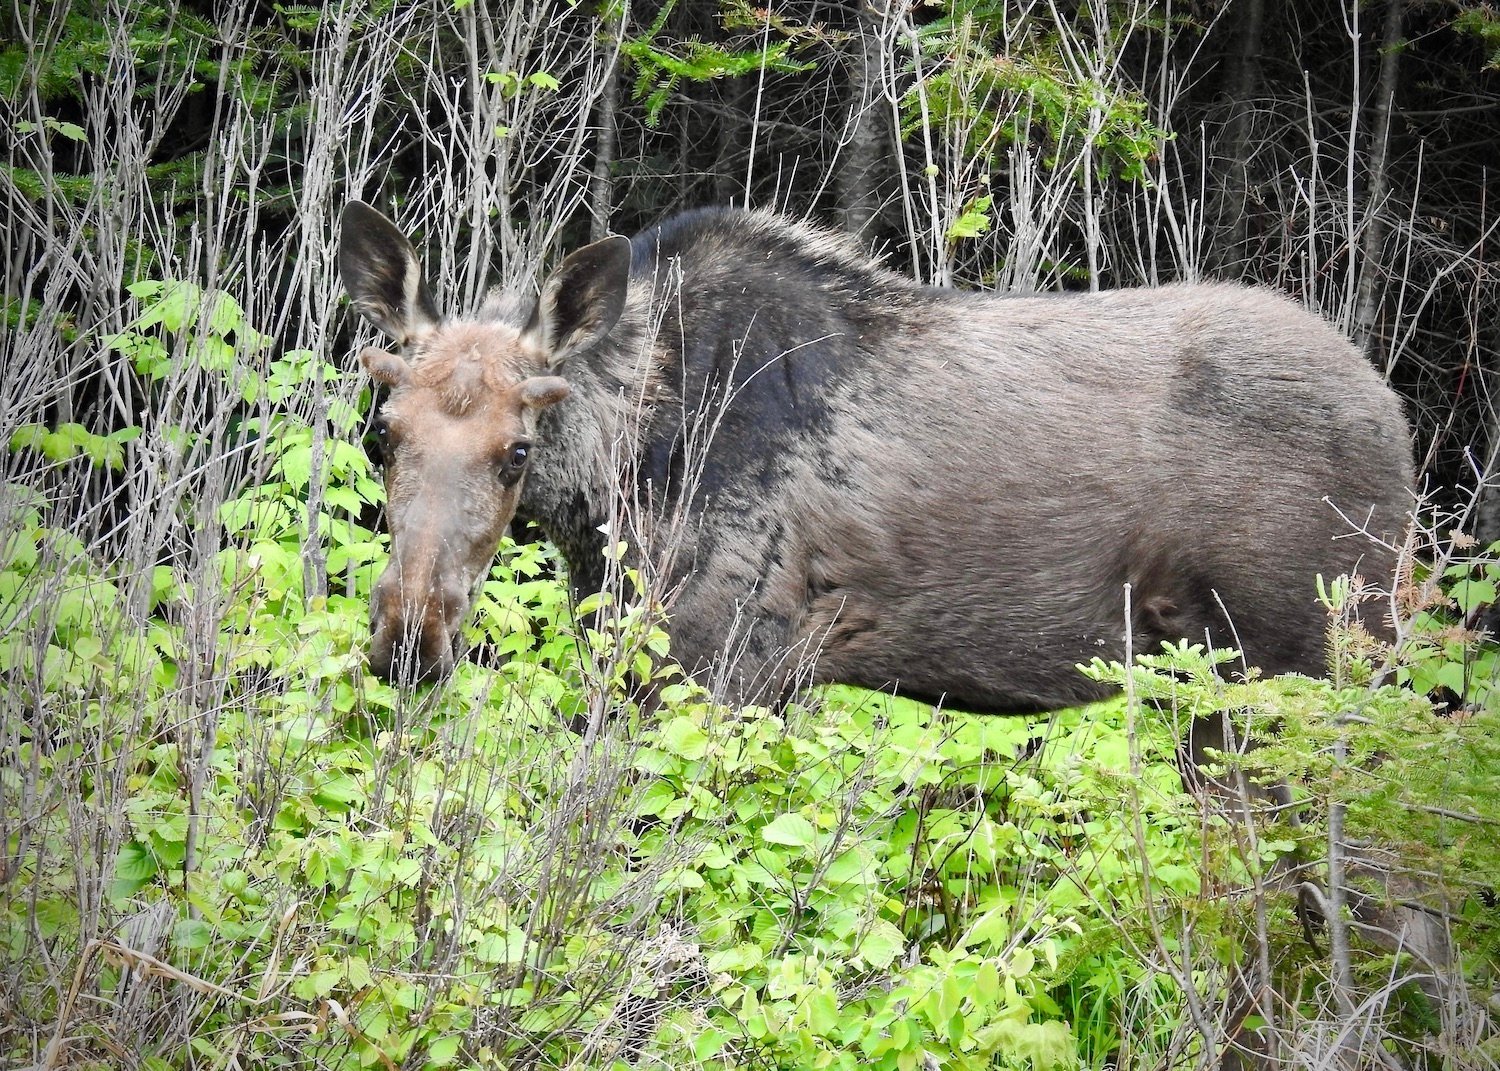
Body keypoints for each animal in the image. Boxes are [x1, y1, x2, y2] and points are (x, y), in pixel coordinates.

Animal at [334, 202, 1410, 708]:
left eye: (518, 450)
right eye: (381, 432)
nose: (409, 635)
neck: (614, 485)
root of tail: (1395, 415)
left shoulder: (729, 662)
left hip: (1314, 655)